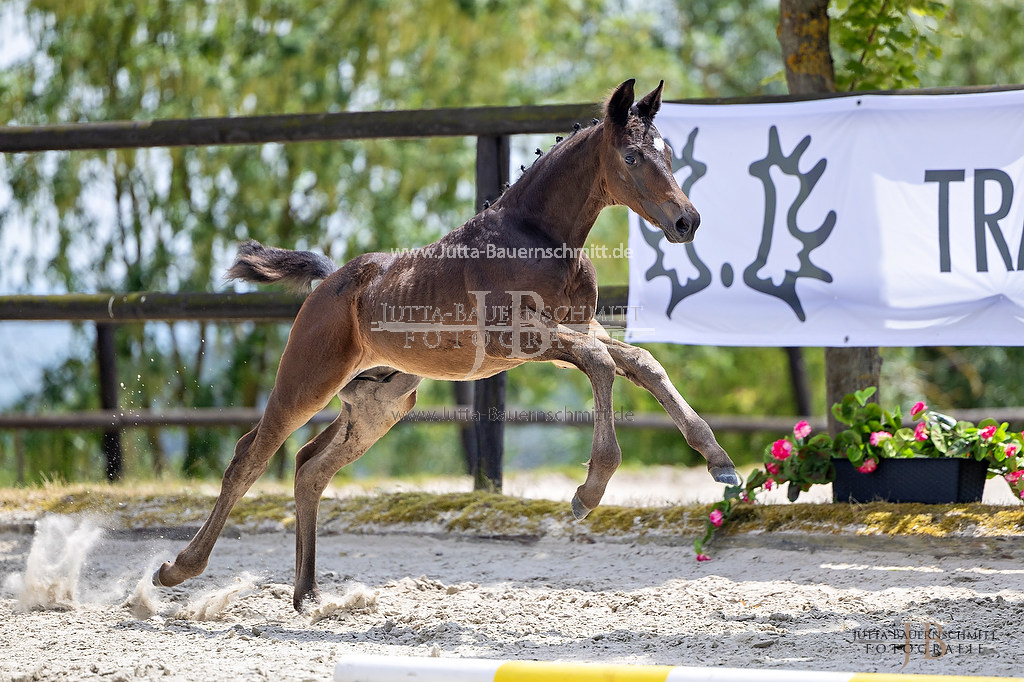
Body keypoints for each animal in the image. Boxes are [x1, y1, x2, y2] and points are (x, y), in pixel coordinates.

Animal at [155, 79, 741, 610]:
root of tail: (329, 281)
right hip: (306, 380)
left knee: (309, 466)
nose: (686, 220)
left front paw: (721, 464)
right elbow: (601, 363)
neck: (538, 237)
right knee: (248, 457)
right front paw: (588, 491)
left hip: (380, 403)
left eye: (669, 153)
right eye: (632, 155)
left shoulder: (581, 325)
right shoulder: (515, 336)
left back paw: (309, 595)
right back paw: (176, 570)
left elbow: (640, 361)